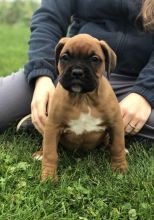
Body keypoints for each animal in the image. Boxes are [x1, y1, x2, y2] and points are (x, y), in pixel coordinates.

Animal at [40, 33, 127, 180]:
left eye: (94, 59)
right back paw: (39, 153)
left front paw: (120, 168)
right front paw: (49, 176)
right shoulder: (52, 126)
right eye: (65, 57)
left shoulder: (116, 124)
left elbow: (118, 146)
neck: (83, 98)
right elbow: (50, 152)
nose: (77, 72)